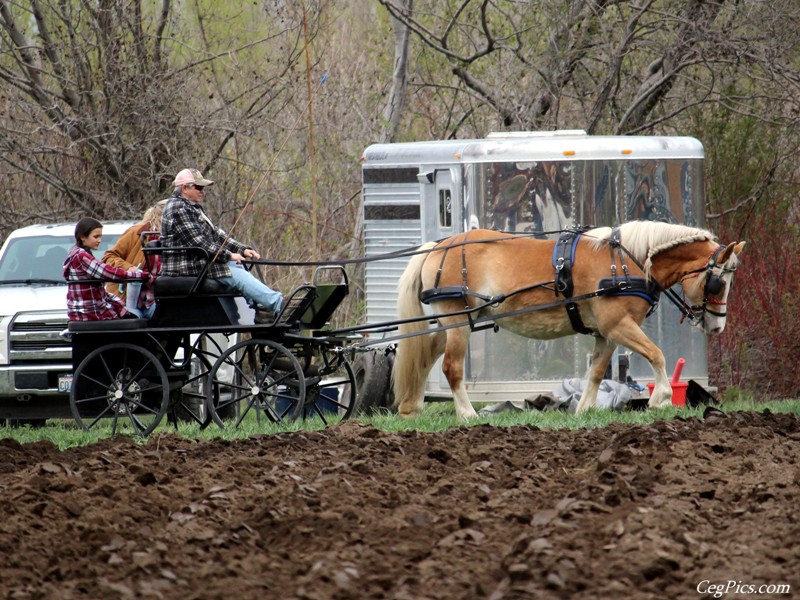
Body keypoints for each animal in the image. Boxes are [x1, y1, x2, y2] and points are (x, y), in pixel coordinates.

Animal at [390, 218, 748, 420]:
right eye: (718, 282)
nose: (717, 325)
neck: (625, 261)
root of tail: (439, 246)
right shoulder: (619, 325)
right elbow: (656, 354)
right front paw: (660, 398)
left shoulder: (606, 333)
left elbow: (596, 372)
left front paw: (583, 410)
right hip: (458, 320)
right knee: (451, 367)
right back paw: (466, 414)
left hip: (452, 321)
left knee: (425, 356)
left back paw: (411, 408)